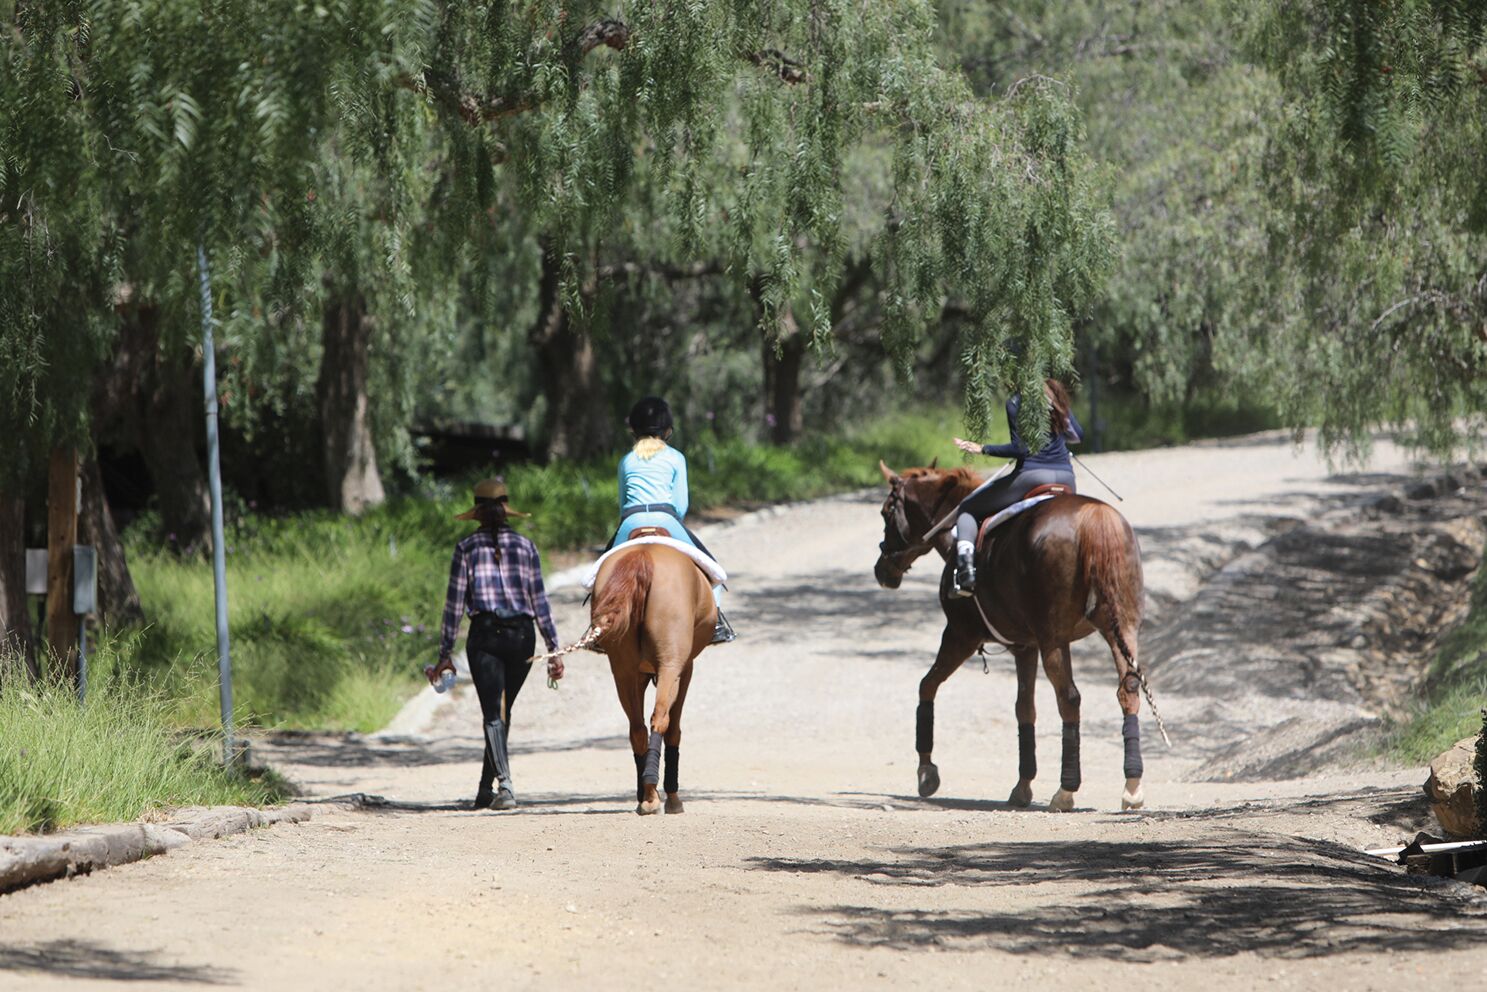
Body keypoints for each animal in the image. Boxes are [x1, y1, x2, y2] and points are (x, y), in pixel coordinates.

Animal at [589, 541, 715, 815]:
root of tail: (643, 554)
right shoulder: (685, 669)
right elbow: (674, 729)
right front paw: (673, 797)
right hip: (670, 666)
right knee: (661, 719)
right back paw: (659, 794)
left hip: (623, 671)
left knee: (637, 729)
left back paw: (646, 796)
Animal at [873, 460, 1155, 811]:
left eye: (886, 512)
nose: (881, 570)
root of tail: (1095, 517)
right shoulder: (1025, 647)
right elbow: (1025, 708)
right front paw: (1022, 786)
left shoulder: (960, 635)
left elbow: (927, 686)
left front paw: (926, 772)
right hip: (1121, 629)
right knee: (1127, 689)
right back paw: (1132, 786)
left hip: (1053, 641)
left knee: (1069, 699)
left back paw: (1066, 791)